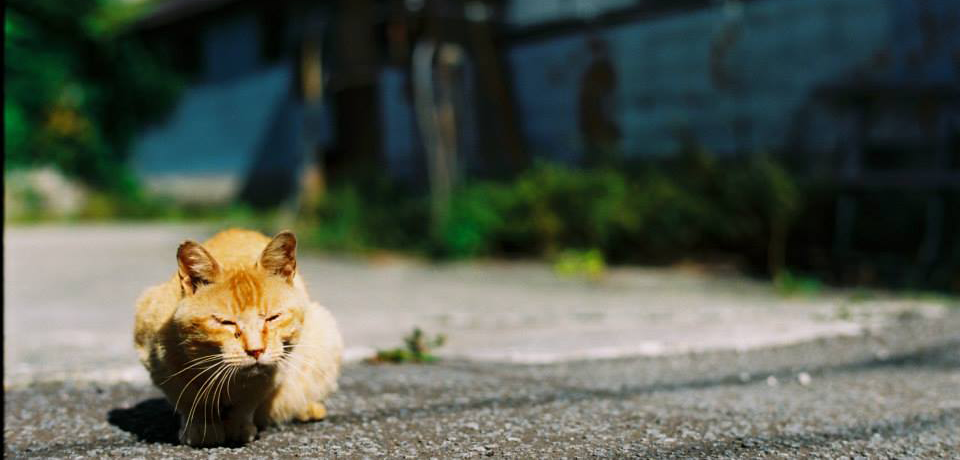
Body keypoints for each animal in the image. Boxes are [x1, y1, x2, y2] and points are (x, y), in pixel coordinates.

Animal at [133, 230, 344, 446]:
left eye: (272, 317)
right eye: (225, 322)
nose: (256, 350)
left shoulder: (275, 369)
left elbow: (246, 405)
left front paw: (238, 428)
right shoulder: (161, 367)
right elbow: (191, 401)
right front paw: (203, 429)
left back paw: (307, 409)